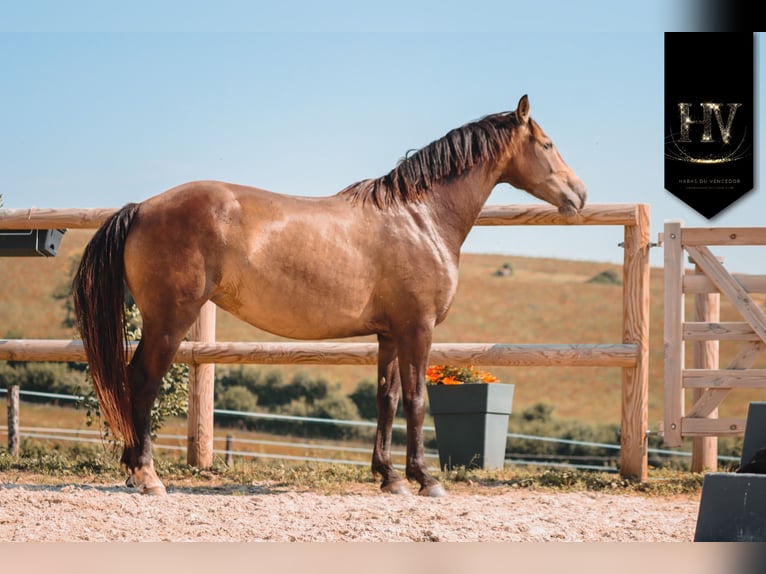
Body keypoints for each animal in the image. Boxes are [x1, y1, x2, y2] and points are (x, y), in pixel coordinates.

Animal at [73, 95, 587, 497]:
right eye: (547, 145)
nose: (579, 194)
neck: (420, 217)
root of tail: (141, 208)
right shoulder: (417, 328)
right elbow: (418, 400)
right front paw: (425, 479)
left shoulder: (389, 334)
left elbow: (388, 399)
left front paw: (389, 477)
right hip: (170, 320)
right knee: (142, 382)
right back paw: (147, 475)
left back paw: (133, 471)